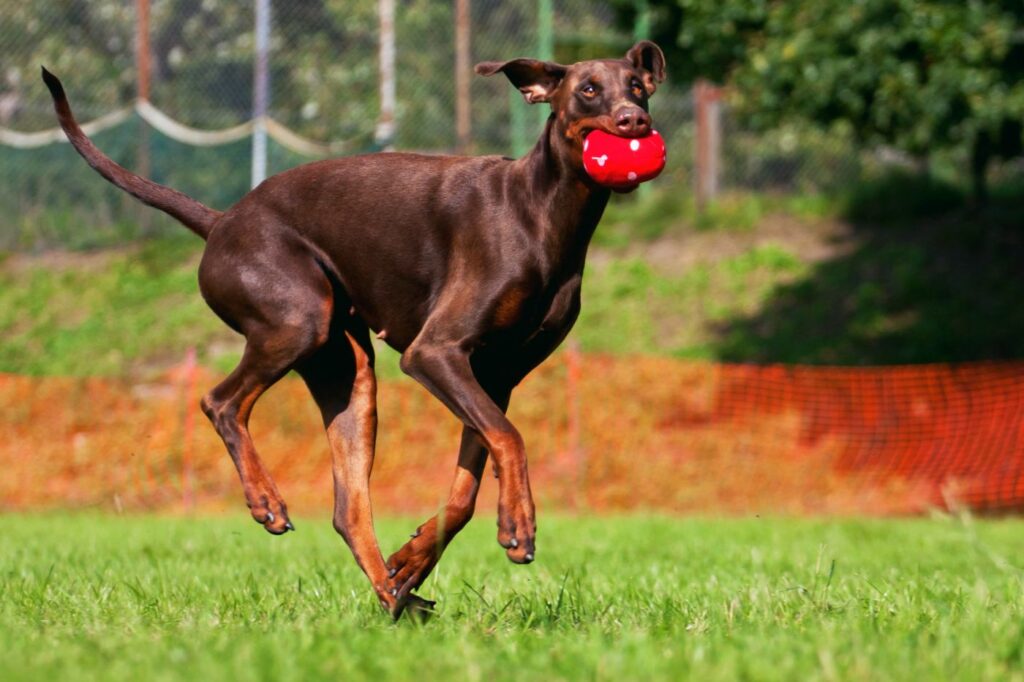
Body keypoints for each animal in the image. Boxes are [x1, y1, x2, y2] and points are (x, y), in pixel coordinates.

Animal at [41, 39, 663, 618]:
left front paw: (416, 557)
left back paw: (395, 593)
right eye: (588, 89)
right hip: (299, 319)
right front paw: (519, 525)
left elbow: (467, 486)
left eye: (638, 85)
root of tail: (221, 222)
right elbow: (509, 437)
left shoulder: (495, 375)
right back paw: (267, 502)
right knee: (220, 401)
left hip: (348, 372)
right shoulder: (435, 353)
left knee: (348, 509)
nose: (634, 120)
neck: (544, 212)